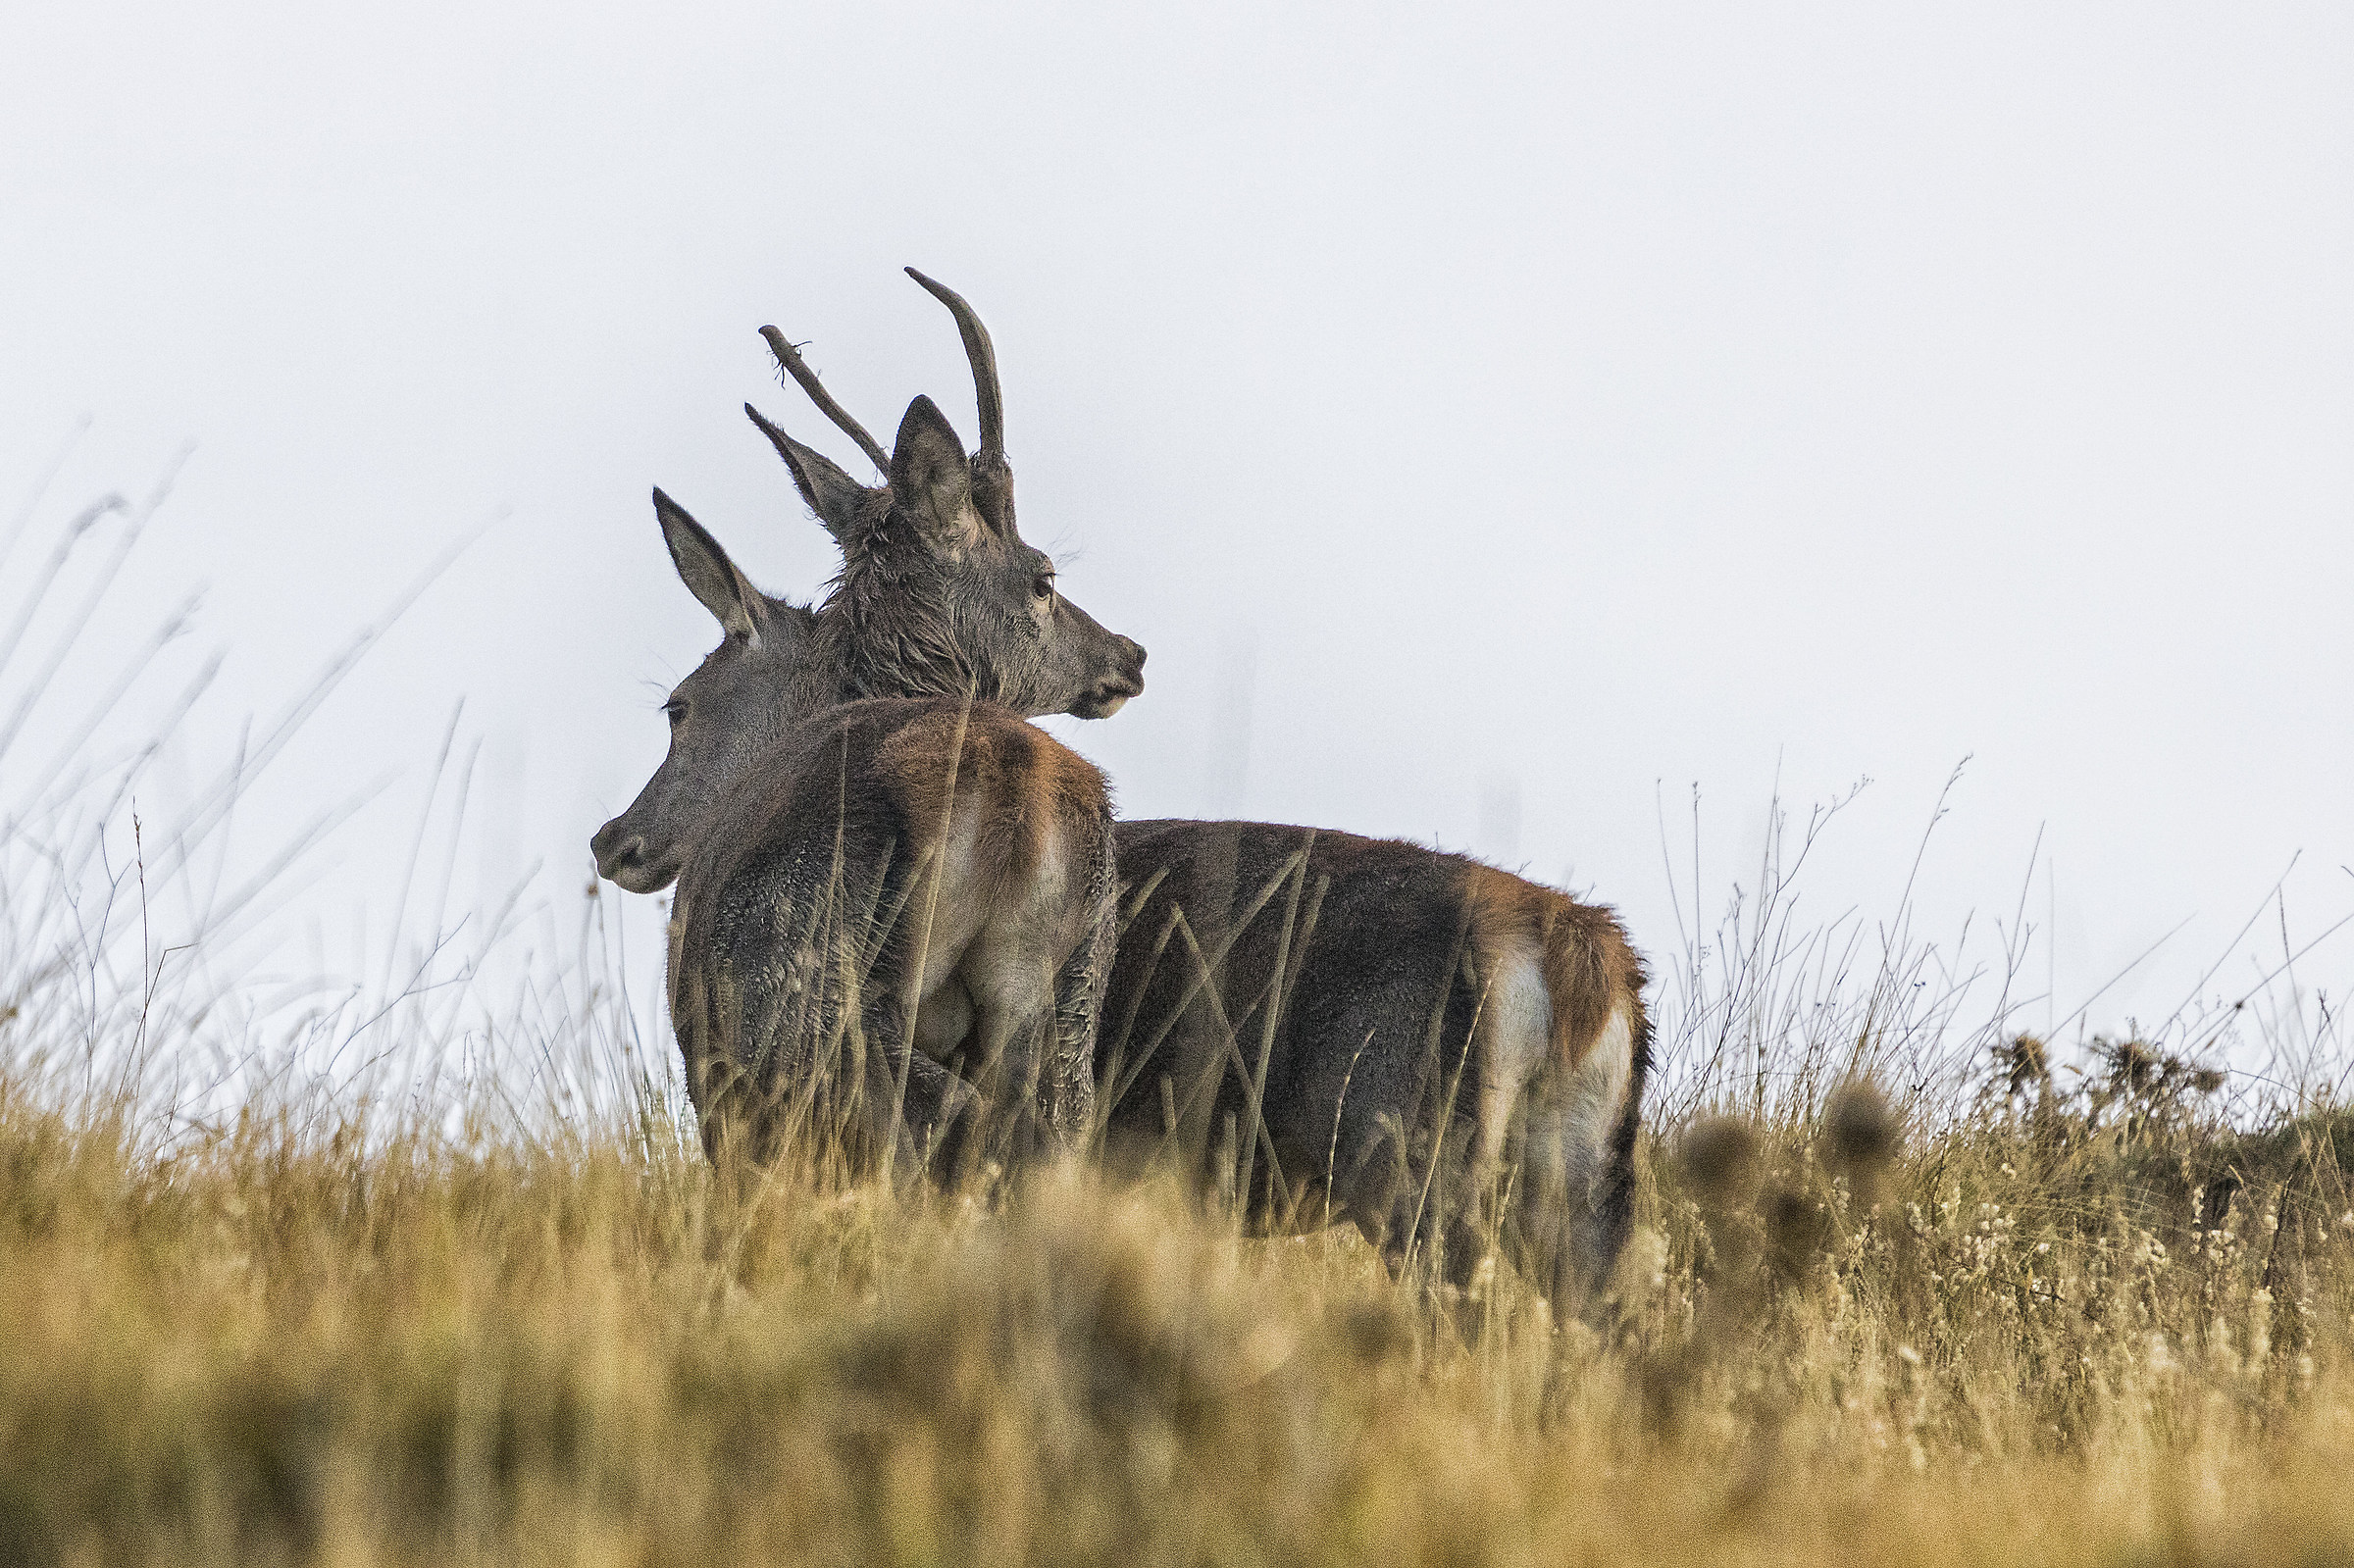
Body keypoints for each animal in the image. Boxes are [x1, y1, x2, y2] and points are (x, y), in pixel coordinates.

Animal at [589, 270, 1147, 1179]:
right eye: (1045, 577)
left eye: (677, 704)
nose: (612, 838)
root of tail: (1009, 787)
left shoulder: (719, 1076)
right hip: (1066, 1013)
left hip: (818, 1007)